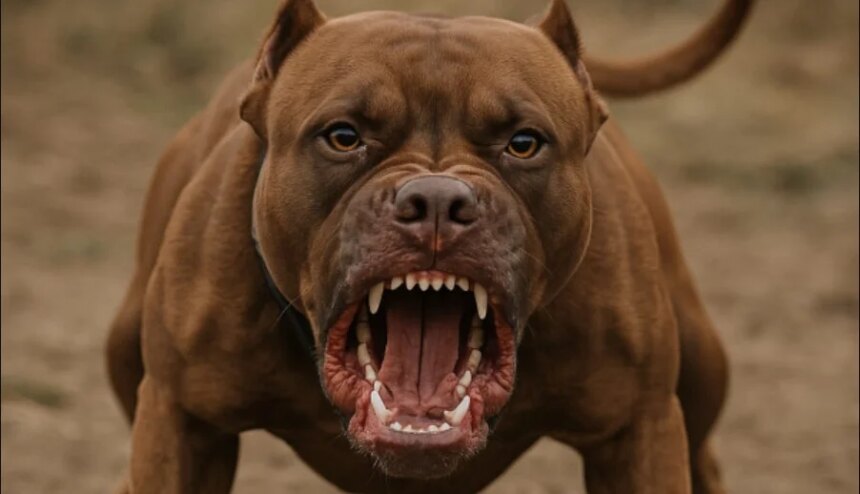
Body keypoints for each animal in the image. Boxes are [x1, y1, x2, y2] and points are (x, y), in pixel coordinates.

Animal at [106, 0, 753, 492]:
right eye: (344, 136)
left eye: (524, 143)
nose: (438, 201)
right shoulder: (181, 425)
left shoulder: (637, 432)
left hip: (699, 375)